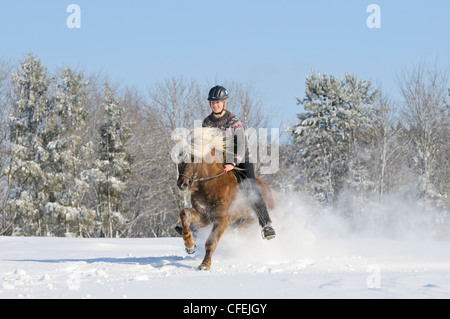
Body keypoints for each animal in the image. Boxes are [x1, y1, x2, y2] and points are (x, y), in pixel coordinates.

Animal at [175, 126, 274, 272]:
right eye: (180, 157)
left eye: (194, 158)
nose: (182, 184)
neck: (211, 185)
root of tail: (266, 186)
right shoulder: (204, 217)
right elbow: (184, 214)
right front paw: (189, 245)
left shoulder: (222, 219)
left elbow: (211, 242)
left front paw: (205, 265)